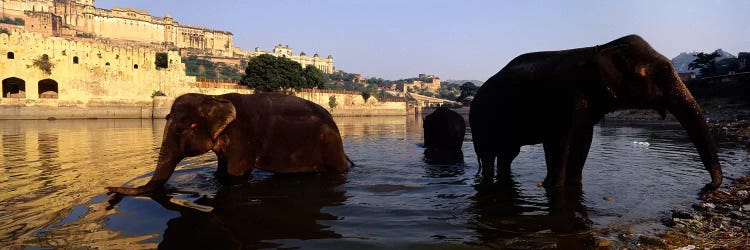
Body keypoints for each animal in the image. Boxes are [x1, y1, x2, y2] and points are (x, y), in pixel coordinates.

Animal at [106, 92, 356, 195]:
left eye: (180, 129)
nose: (108, 189)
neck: (214, 98)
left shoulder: (242, 137)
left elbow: (237, 173)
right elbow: (221, 171)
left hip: (330, 147)